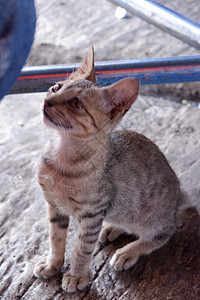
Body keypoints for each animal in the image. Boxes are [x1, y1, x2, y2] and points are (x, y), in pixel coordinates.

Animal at [34, 46, 186, 292]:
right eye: (55, 87)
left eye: (76, 104)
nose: (47, 101)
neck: (62, 156)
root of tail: (179, 196)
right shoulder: (54, 206)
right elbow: (55, 239)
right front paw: (52, 264)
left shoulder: (93, 214)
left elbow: (82, 248)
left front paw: (76, 275)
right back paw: (113, 228)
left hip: (153, 220)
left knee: (164, 233)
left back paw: (128, 252)